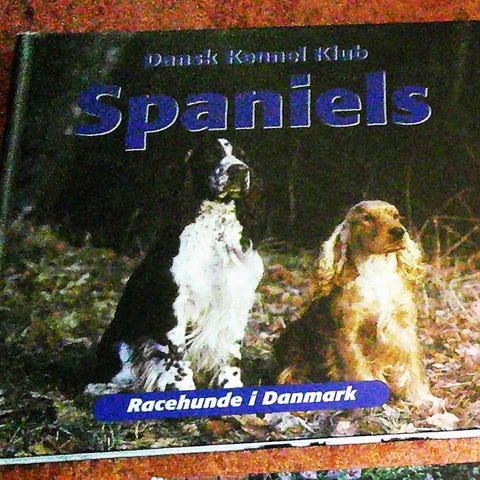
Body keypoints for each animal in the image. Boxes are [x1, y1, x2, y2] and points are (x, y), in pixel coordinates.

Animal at [87, 138, 263, 393]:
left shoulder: (235, 300)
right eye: (210, 155)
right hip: (120, 345)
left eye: (241, 156)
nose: (240, 170)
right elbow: (176, 356)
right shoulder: (175, 305)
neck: (216, 234)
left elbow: (231, 355)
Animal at [274, 200, 440, 407]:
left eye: (395, 216)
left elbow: (413, 365)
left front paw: (423, 398)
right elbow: (357, 366)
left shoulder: (403, 327)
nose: (398, 231)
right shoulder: (348, 332)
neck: (377, 272)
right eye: (367, 218)